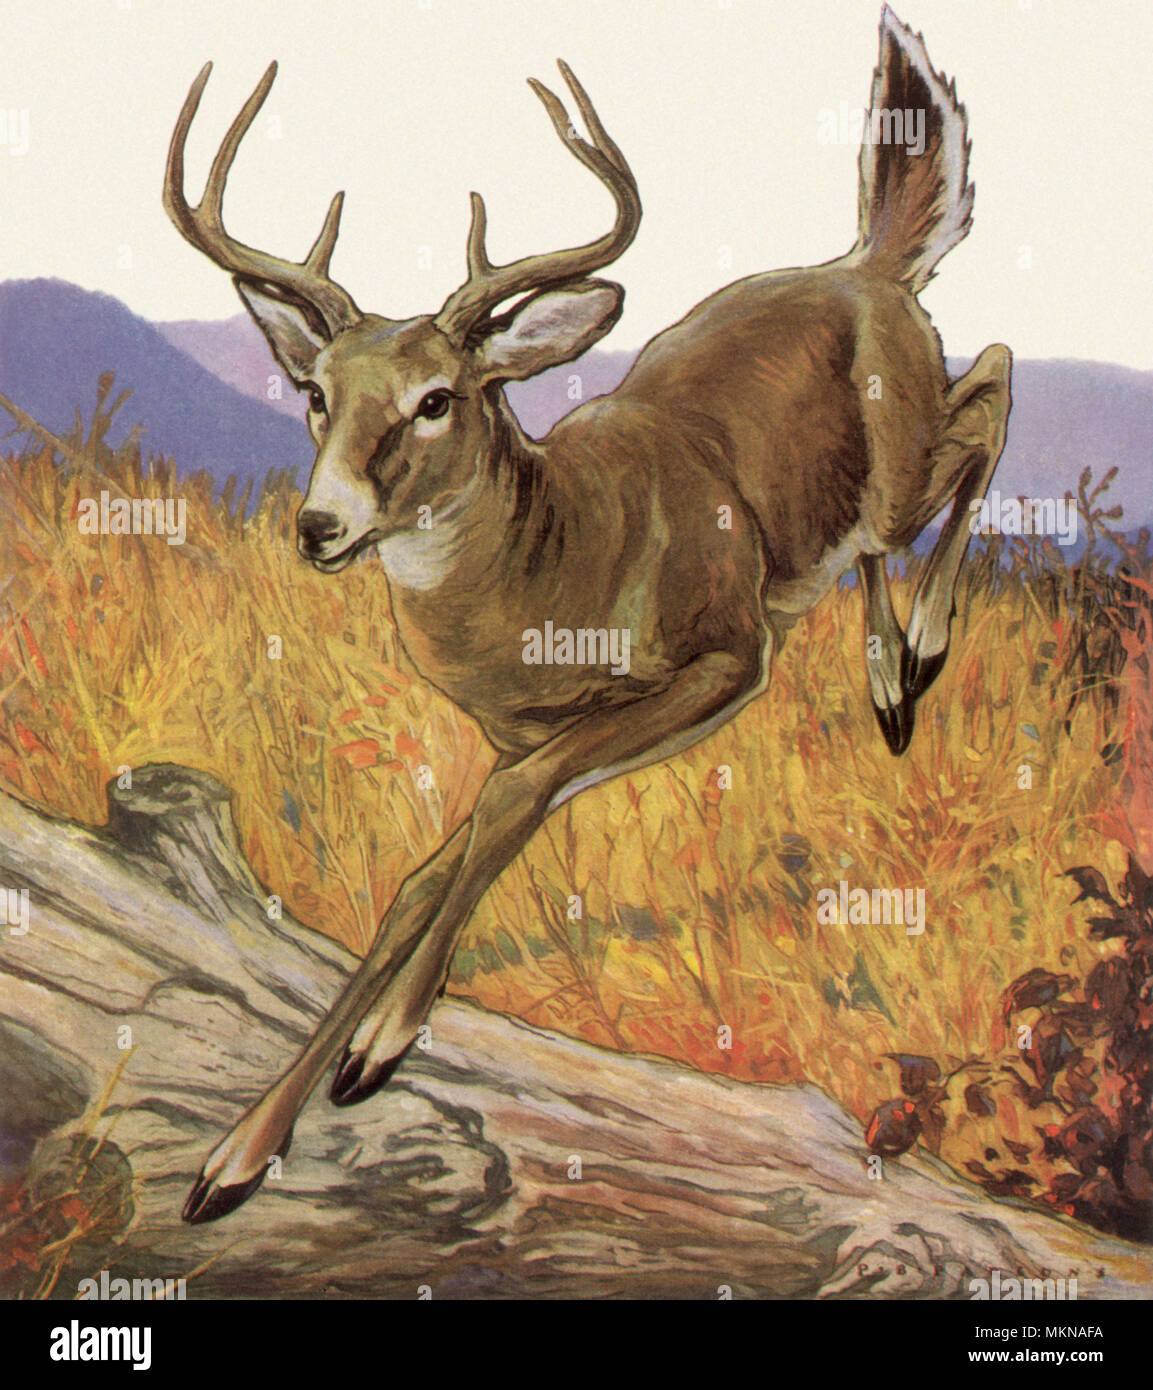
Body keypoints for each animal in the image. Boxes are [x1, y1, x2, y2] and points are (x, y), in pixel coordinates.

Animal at [164, 5, 1011, 1222]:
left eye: (438, 399)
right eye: (315, 393)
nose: (320, 525)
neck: (559, 565)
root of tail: (867, 268)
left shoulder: (725, 656)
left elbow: (511, 808)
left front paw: (380, 1047)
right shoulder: (523, 729)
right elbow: (429, 872)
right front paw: (234, 1158)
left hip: (900, 461)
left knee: (989, 387)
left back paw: (922, 652)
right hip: (854, 509)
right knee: (888, 520)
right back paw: (889, 681)